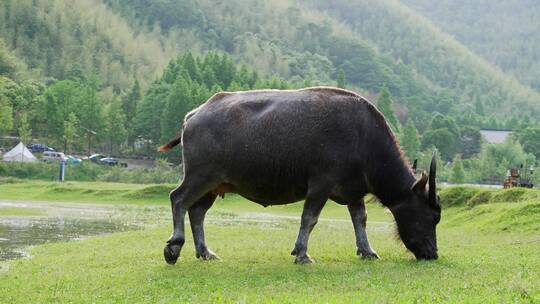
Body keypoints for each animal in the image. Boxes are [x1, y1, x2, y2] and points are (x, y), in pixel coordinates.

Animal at [159, 86, 438, 264]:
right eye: (431, 217)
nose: (432, 254)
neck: (363, 139)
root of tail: (194, 115)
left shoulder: (354, 191)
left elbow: (360, 219)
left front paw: (367, 250)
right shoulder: (320, 185)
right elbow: (309, 219)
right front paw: (302, 253)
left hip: (215, 184)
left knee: (197, 212)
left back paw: (205, 252)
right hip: (199, 176)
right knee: (178, 199)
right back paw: (174, 247)